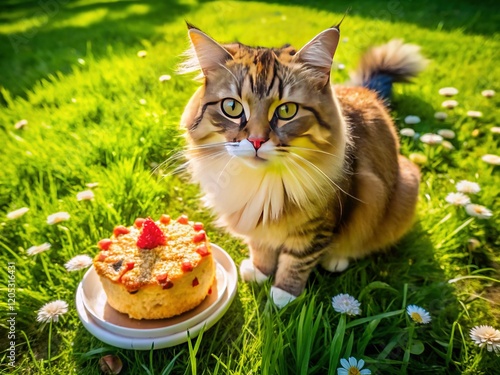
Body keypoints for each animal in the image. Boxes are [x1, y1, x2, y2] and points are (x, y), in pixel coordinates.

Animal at [178, 22, 424, 306]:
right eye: (231, 107)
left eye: (286, 111)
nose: (256, 140)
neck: (262, 181)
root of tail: (367, 91)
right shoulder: (253, 218)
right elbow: (261, 245)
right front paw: (260, 271)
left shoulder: (318, 225)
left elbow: (297, 260)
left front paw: (283, 296)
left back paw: (336, 260)